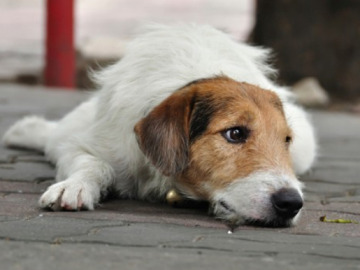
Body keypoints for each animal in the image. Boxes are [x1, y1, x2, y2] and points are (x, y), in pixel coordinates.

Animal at [2, 24, 316, 228]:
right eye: (235, 133)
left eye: (286, 140)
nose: (291, 203)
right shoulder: (90, 144)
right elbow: (92, 163)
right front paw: (75, 186)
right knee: (55, 134)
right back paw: (23, 130)